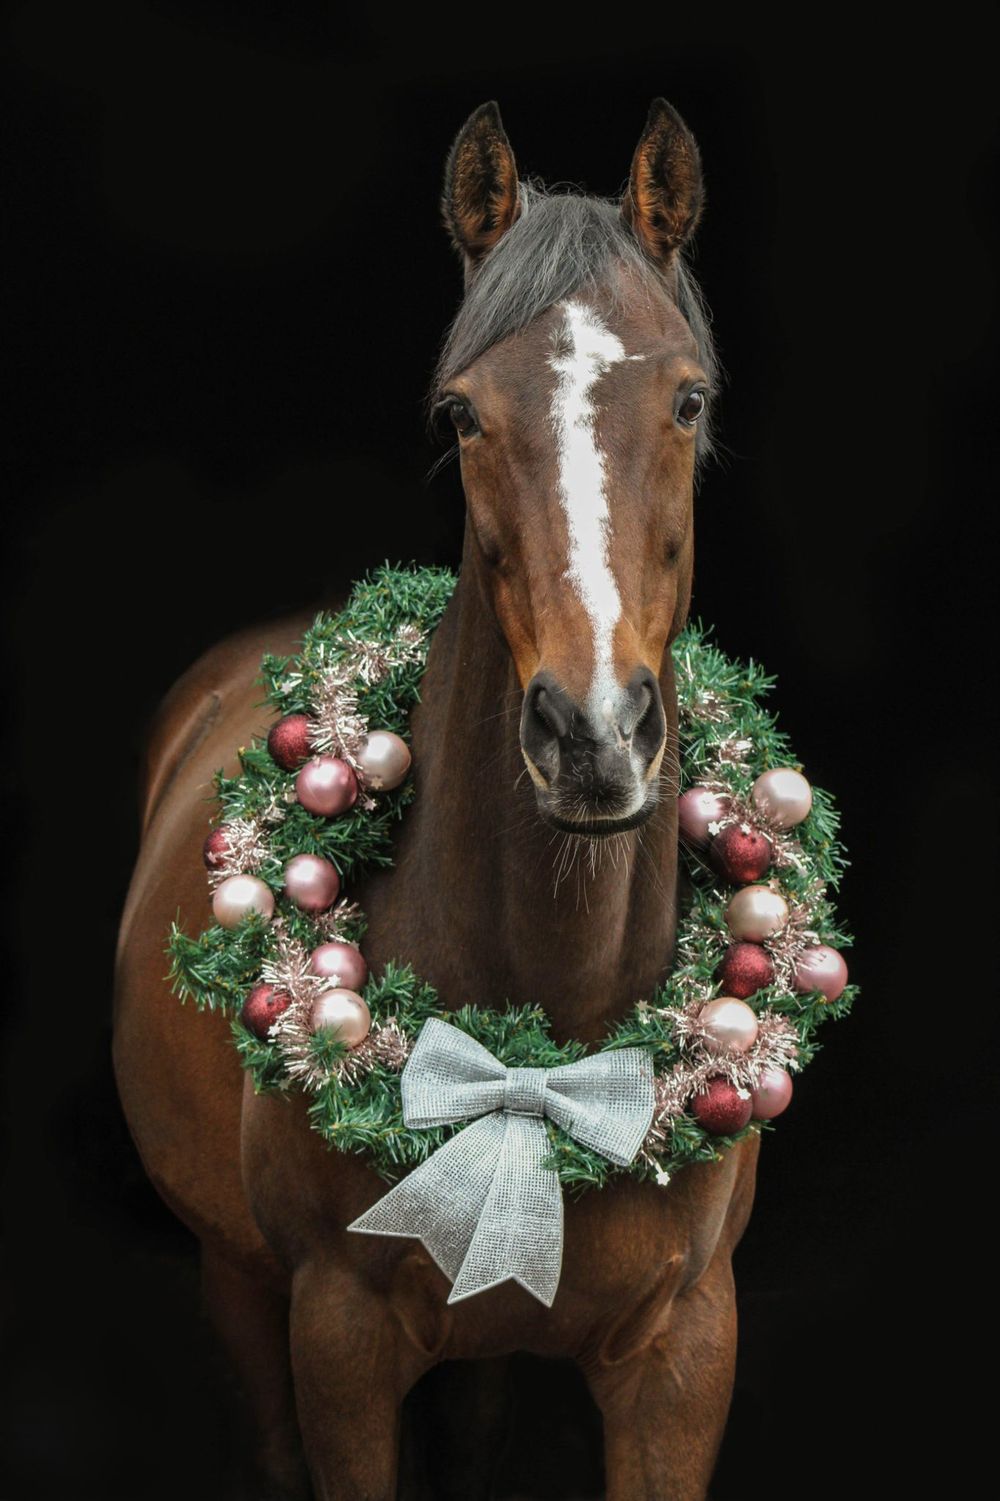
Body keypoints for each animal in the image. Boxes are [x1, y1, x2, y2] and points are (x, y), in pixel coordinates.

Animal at [114, 98, 760, 1501]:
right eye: (463, 413)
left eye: (687, 396)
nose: (593, 735)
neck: (549, 1035)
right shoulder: (339, 1339)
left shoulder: (683, 1353)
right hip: (238, 1284)